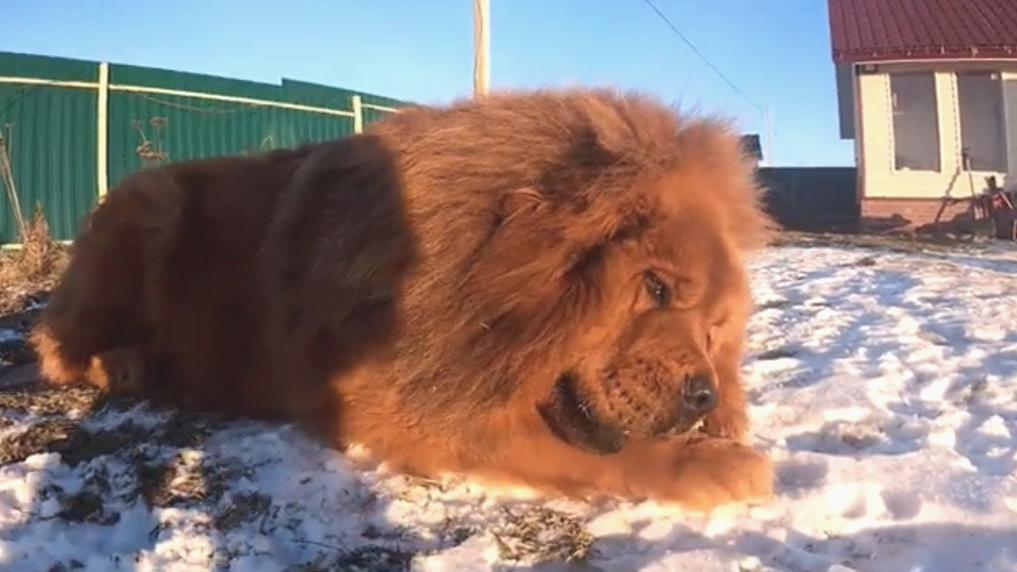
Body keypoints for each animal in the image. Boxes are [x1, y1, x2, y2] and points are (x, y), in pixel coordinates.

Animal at [31, 87, 776, 508]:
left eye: (714, 329)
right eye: (655, 287)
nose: (703, 395)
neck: (471, 263)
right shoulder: (395, 398)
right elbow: (573, 447)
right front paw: (717, 466)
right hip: (151, 204)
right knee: (53, 346)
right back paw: (125, 364)